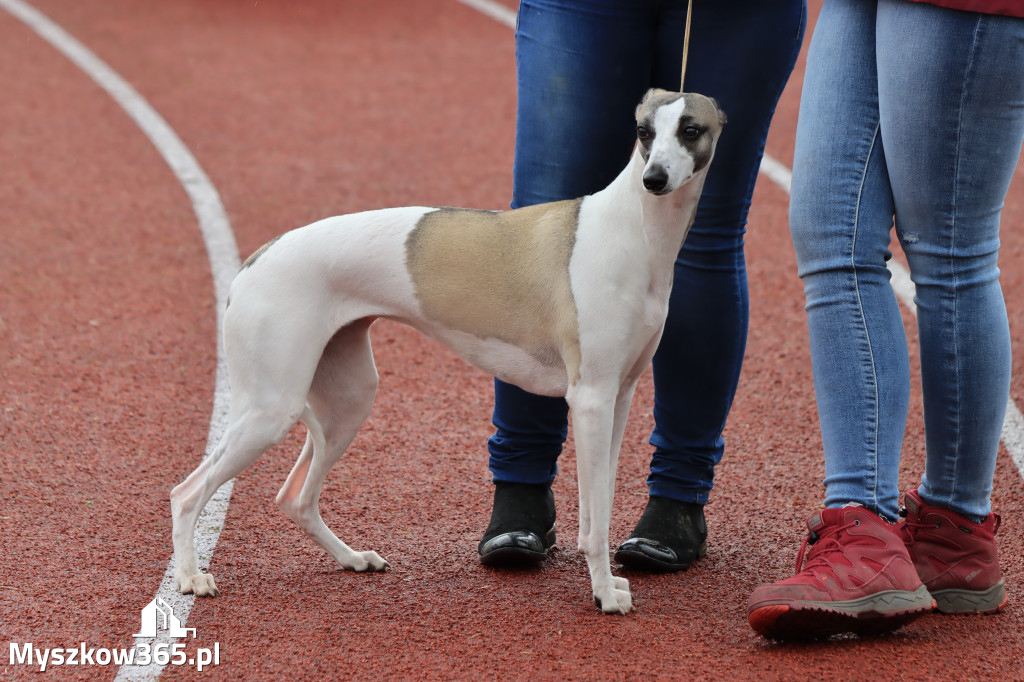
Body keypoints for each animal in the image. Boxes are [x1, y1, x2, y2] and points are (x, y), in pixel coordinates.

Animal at [172, 87, 724, 614]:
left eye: (691, 129)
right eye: (643, 131)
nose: (654, 179)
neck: (634, 230)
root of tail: (256, 258)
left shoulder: (620, 397)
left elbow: (602, 503)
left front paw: (608, 583)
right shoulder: (590, 400)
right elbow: (595, 523)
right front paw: (605, 594)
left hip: (346, 400)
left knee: (296, 498)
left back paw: (352, 558)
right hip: (272, 407)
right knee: (186, 492)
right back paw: (191, 578)